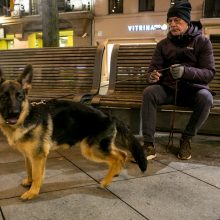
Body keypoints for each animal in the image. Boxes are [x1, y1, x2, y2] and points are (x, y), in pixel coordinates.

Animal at [0, 64, 148, 200]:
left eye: (20, 96)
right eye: (4, 97)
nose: (14, 113)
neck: (27, 117)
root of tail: (109, 116)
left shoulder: (38, 156)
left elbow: (37, 175)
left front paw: (33, 192)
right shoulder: (28, 155)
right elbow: (29, 170)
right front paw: (29, 182)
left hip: (91, 149)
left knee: (118, 157)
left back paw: (105, 182)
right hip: (99, 148)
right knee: (122, 154)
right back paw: (115, 172)